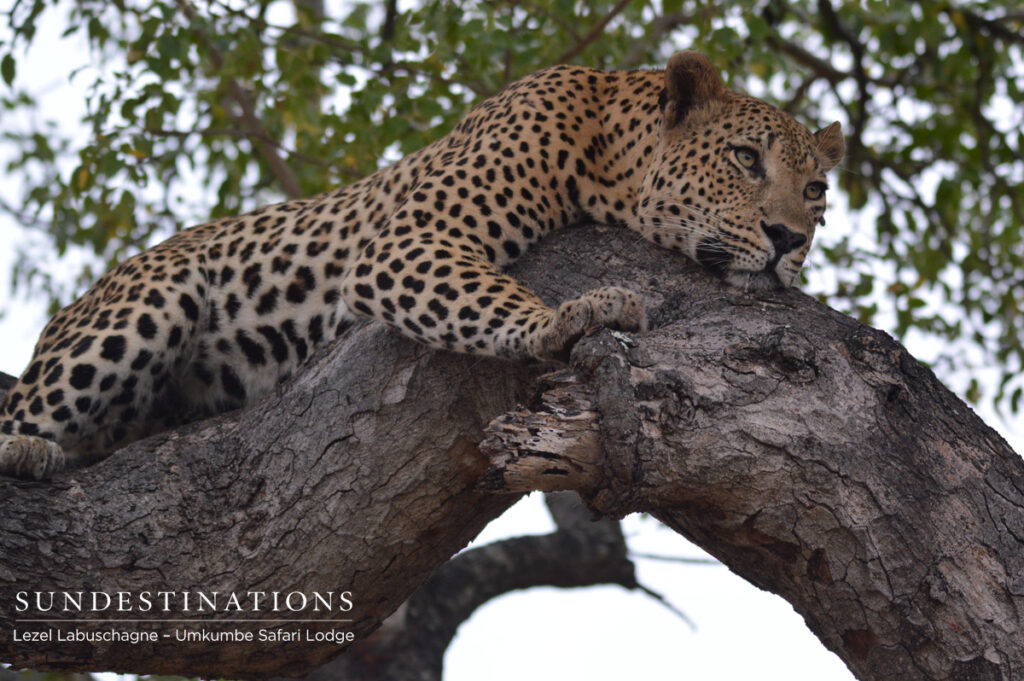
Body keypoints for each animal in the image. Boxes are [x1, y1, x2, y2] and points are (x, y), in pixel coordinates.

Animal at [0, 51, 844, 480]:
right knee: (25, 408)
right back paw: (27, 448)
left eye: (816, 192)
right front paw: (574, 316)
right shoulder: (407, 240)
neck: (610, 153)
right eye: (745, 158)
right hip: (149, 299)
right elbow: (490, 295)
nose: (787, 239)